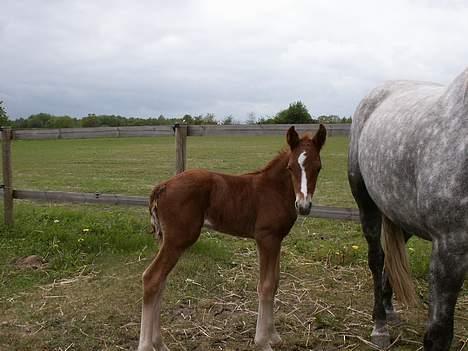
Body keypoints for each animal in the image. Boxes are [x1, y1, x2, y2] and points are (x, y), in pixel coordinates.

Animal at [137, 125, 326, 350]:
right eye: (290, 167)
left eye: (318, 168)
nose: (303, 206)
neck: (273, 190)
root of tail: (163, 186)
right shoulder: (266, 238)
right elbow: (266, 286)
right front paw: (263, 342)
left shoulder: (277, 239)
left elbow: (275, 283)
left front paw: (273, 335)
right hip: (178, 240)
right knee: (152, 278)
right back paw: (146, 345)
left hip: (167, 241)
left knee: (160, 282)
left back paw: (159, 343)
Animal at [350, 69, 466, 351]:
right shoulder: (450, 248)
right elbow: (439, 335)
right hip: (366, 205)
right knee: (377, 258)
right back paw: (380, 324)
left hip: (403, 217)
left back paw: (388, 308)